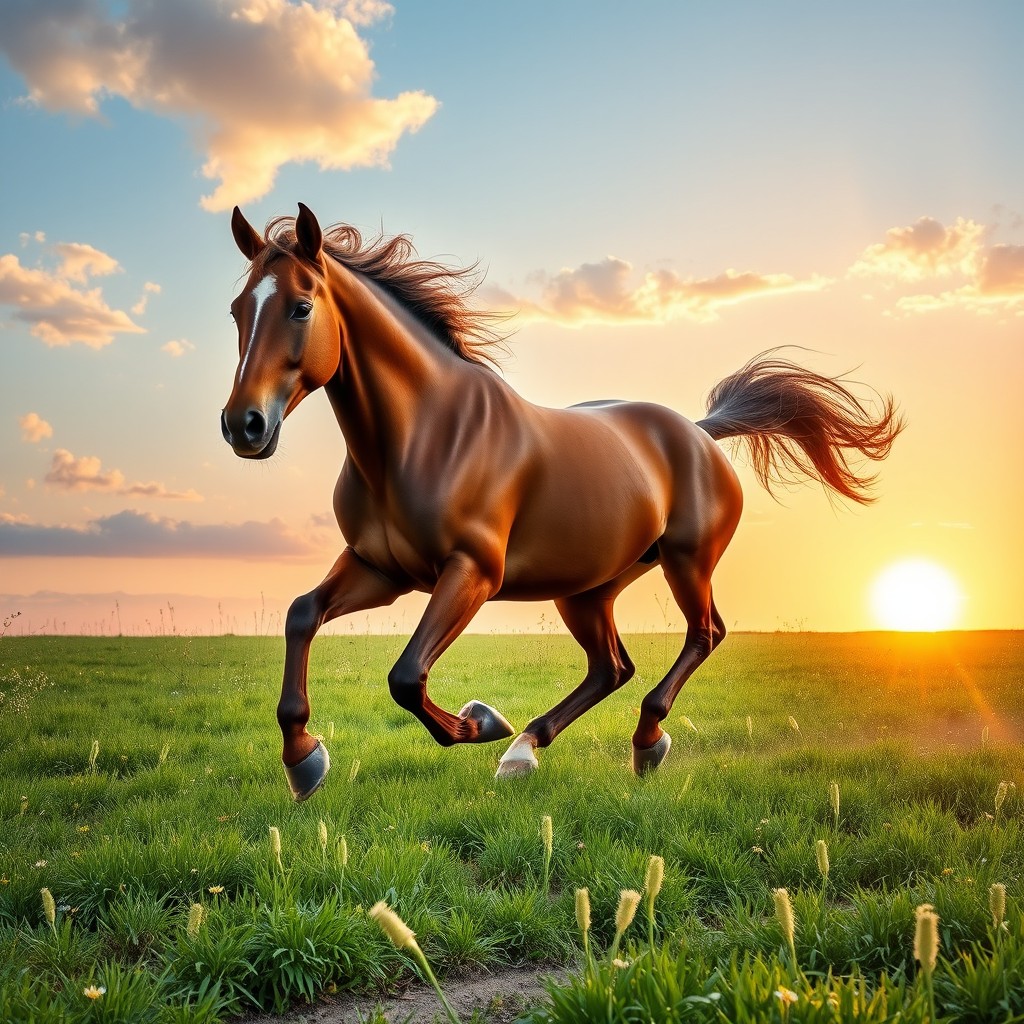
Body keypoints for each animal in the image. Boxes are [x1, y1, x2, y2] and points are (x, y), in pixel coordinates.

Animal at [222, 203, 903, 801]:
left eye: (301, 307)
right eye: (236, 311)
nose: (243, 426)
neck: (422, 436)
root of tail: (699, 431)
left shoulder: (472, 571)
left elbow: (407, 676)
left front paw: (480, 720)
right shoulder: (380, 569)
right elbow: (302, 615)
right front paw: (304, 761)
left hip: (686, 562)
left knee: (704, 633)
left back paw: (637, 741)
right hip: (587, 589)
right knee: (611, 666)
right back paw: (527, 750)